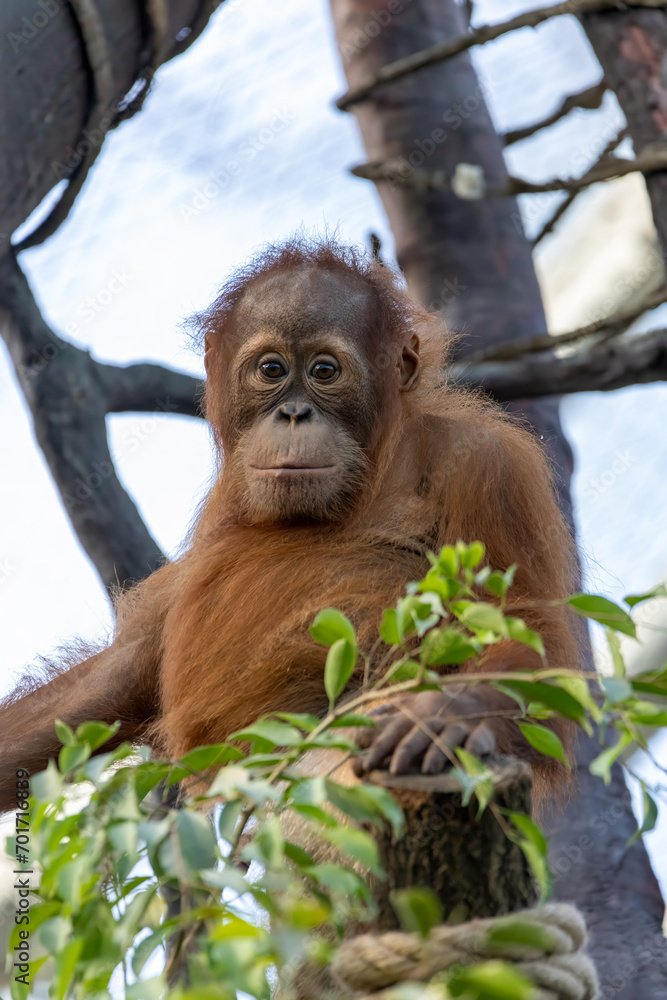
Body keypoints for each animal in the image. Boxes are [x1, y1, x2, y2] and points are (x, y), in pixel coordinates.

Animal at [0, 237, 579, 815]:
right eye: (272, 369)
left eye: (324, 372)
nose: (294, 414)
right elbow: (123, 668)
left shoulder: (489, 466)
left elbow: (526, 631)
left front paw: (444, 714)